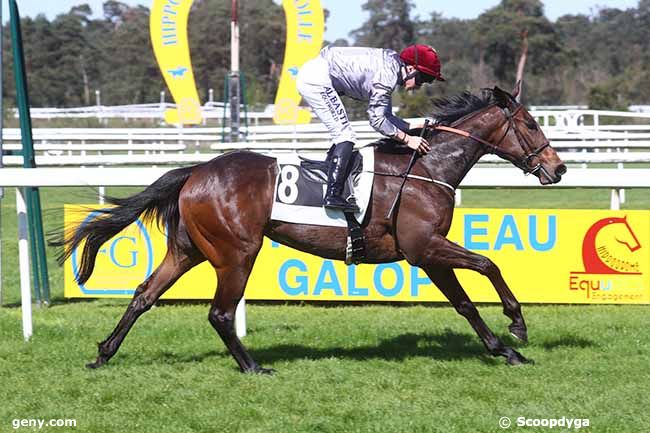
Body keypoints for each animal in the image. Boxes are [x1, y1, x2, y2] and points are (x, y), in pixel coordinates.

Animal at [55, 84, 560, 372]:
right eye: (532, 123)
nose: (559, 169)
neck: (425, 168)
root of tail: (196, 170)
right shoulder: (425, 247)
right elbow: (488, 266)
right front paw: (517, 326)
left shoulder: (426, 253)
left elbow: (464, 304)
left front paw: (505, 349)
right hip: (237, 253)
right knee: (220, 313)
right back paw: (253, 366)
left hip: (188, 250)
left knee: (144, 294)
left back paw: (103, 354)